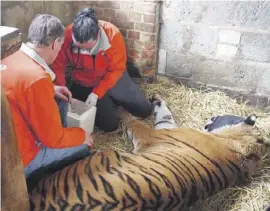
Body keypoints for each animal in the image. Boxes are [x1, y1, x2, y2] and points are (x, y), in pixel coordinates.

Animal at [28, 94, 266, 211]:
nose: (212, 116)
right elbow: (164, 114)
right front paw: (157, 99)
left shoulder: (151, 134)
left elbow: (134, 120)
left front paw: (121, 109)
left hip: (100, 156)